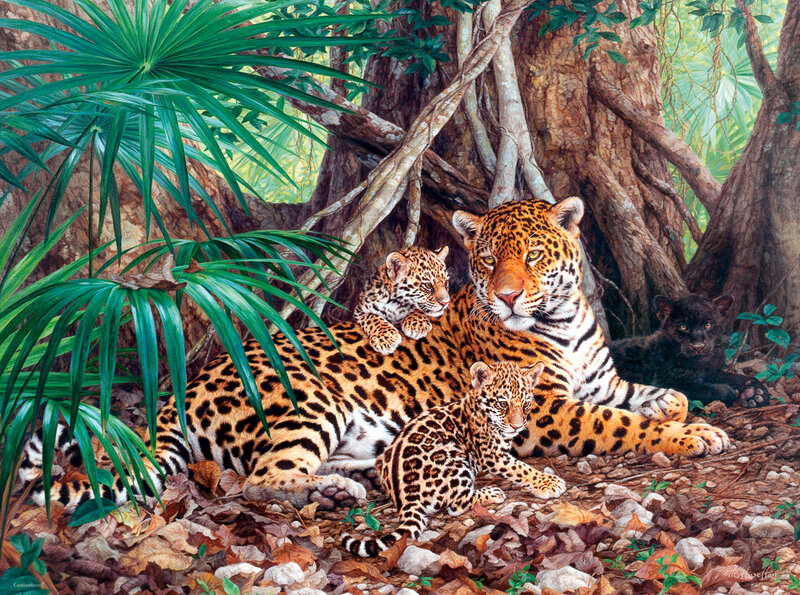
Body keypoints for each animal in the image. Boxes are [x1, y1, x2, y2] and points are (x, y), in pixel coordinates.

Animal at [18, 197, 730, 512]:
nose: (505, 297)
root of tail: (179, 392)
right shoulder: (549, 410)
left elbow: (656, 396)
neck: (561, 318)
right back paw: (335, 489)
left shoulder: (599, 382)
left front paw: (693, 416)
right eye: (488, 260)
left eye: (531, 257)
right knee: (265, 480)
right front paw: (690, 437)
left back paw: (369, 474)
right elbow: (623, 425)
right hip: (311, 402)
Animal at [342, 361, 566, 557]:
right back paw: (492, 492)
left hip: (383, 460)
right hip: (453, 455)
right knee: (457, 504)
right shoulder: (492, 455)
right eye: (503, 404)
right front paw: (549, 483)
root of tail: (405, 497)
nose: (518, 426)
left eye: (526, 404)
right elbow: (521, 468)